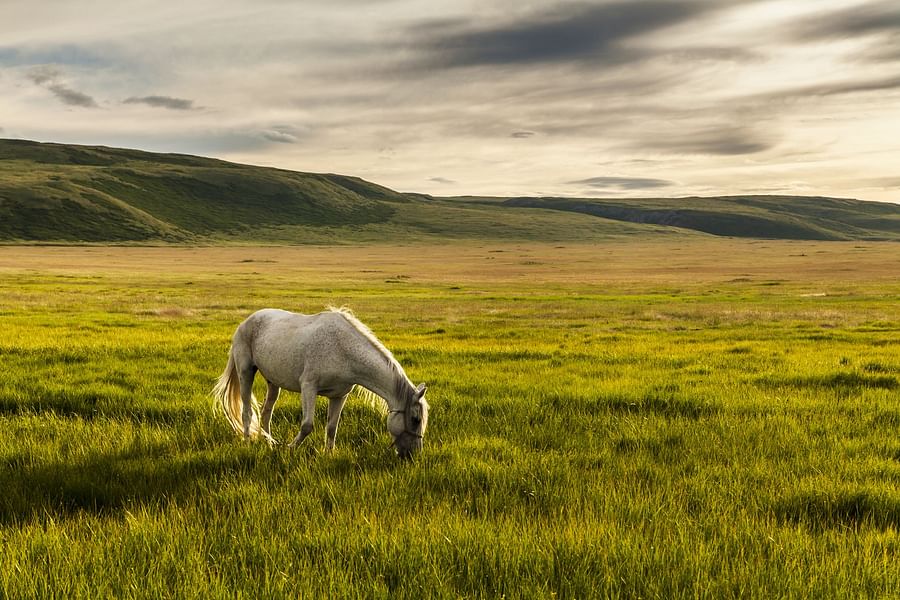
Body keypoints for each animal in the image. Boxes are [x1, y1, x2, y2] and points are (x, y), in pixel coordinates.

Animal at [212, 307, 429, 458]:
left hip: (273, 382)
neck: (343, 349)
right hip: (246, 372)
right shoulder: (309, 387)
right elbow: (307, 425)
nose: (413, 456)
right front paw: (291, 449)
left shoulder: (339, 395)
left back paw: (270, 443)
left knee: (266, 413)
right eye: (415, 419)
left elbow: (332, 427)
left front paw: (328, 454)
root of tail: (246, 321)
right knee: (246, 411)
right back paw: (248, 442)